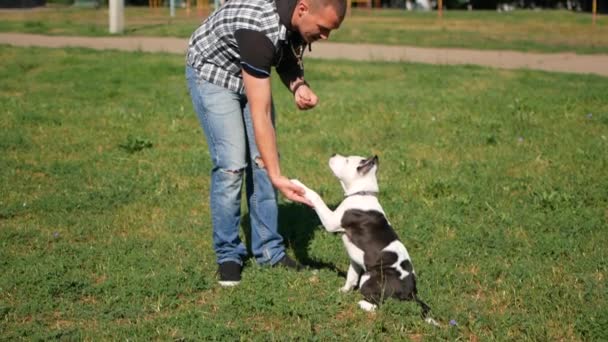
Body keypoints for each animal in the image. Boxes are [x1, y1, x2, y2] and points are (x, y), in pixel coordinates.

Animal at [292, 155, 434, 320]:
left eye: (347, 160)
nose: (333, 154)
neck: (363, 193)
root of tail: (411, 293)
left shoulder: (331, 221)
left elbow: (316, 197)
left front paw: (297, 183)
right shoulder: (355, 261)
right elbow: (351, 276)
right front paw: (343, 291)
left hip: (369, 277)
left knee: (379, 303)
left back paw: (362, 304)